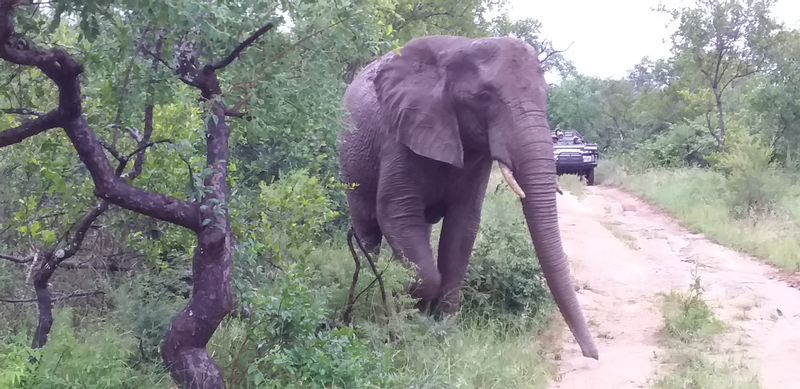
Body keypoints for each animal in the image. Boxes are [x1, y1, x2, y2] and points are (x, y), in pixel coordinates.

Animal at [340, 34, 596, 358]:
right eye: (484, 97)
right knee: (368, 228)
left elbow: (462, 229)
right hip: (351, 159)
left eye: (546, 96)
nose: (592, 354)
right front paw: (408, 320)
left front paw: (442, 331)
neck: (459, 49)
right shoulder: (399, 134)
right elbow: (397, 215)